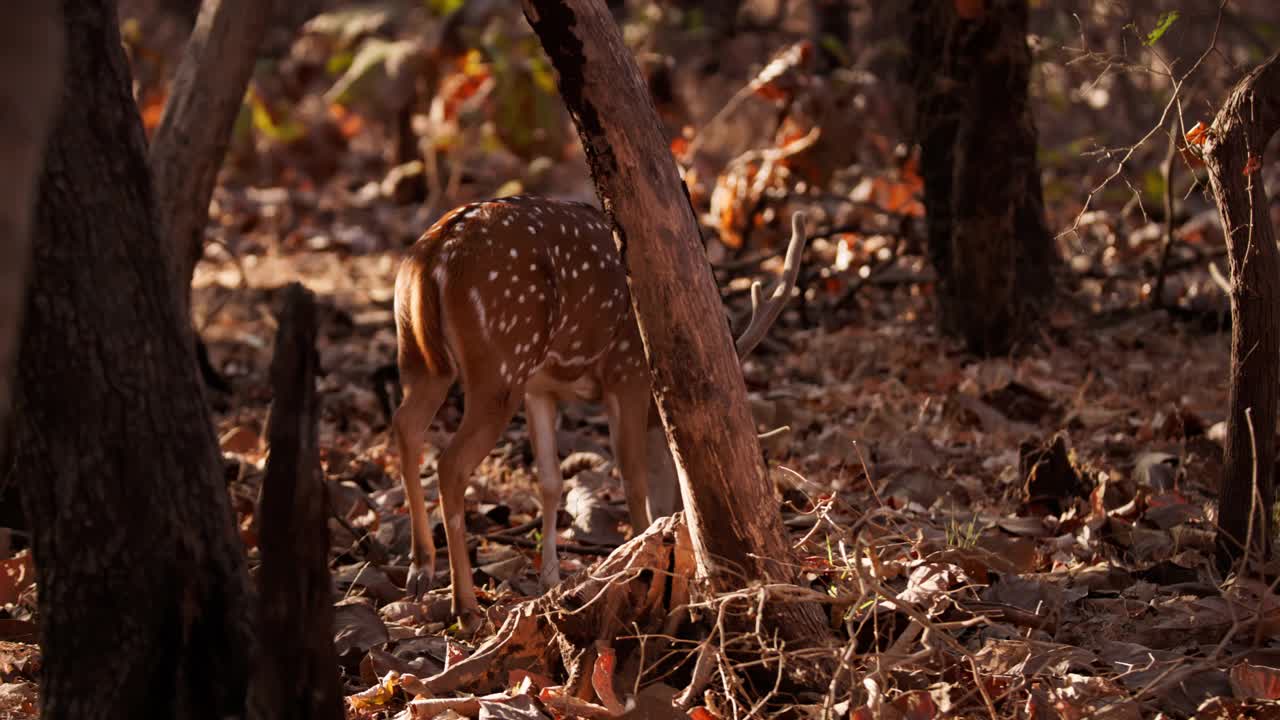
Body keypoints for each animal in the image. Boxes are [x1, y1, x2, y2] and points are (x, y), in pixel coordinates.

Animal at [394, 193, 803, 620]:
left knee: (405, 426)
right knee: (450, 463)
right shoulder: (627, 372)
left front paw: (550, 580)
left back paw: (420, 568)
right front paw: (639, 559)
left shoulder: (541, 389)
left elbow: (551, 481)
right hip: (501, 363)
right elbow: (632, 476)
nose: (681, 525)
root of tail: (435, 256)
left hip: (421, 356)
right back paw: (465, 603)